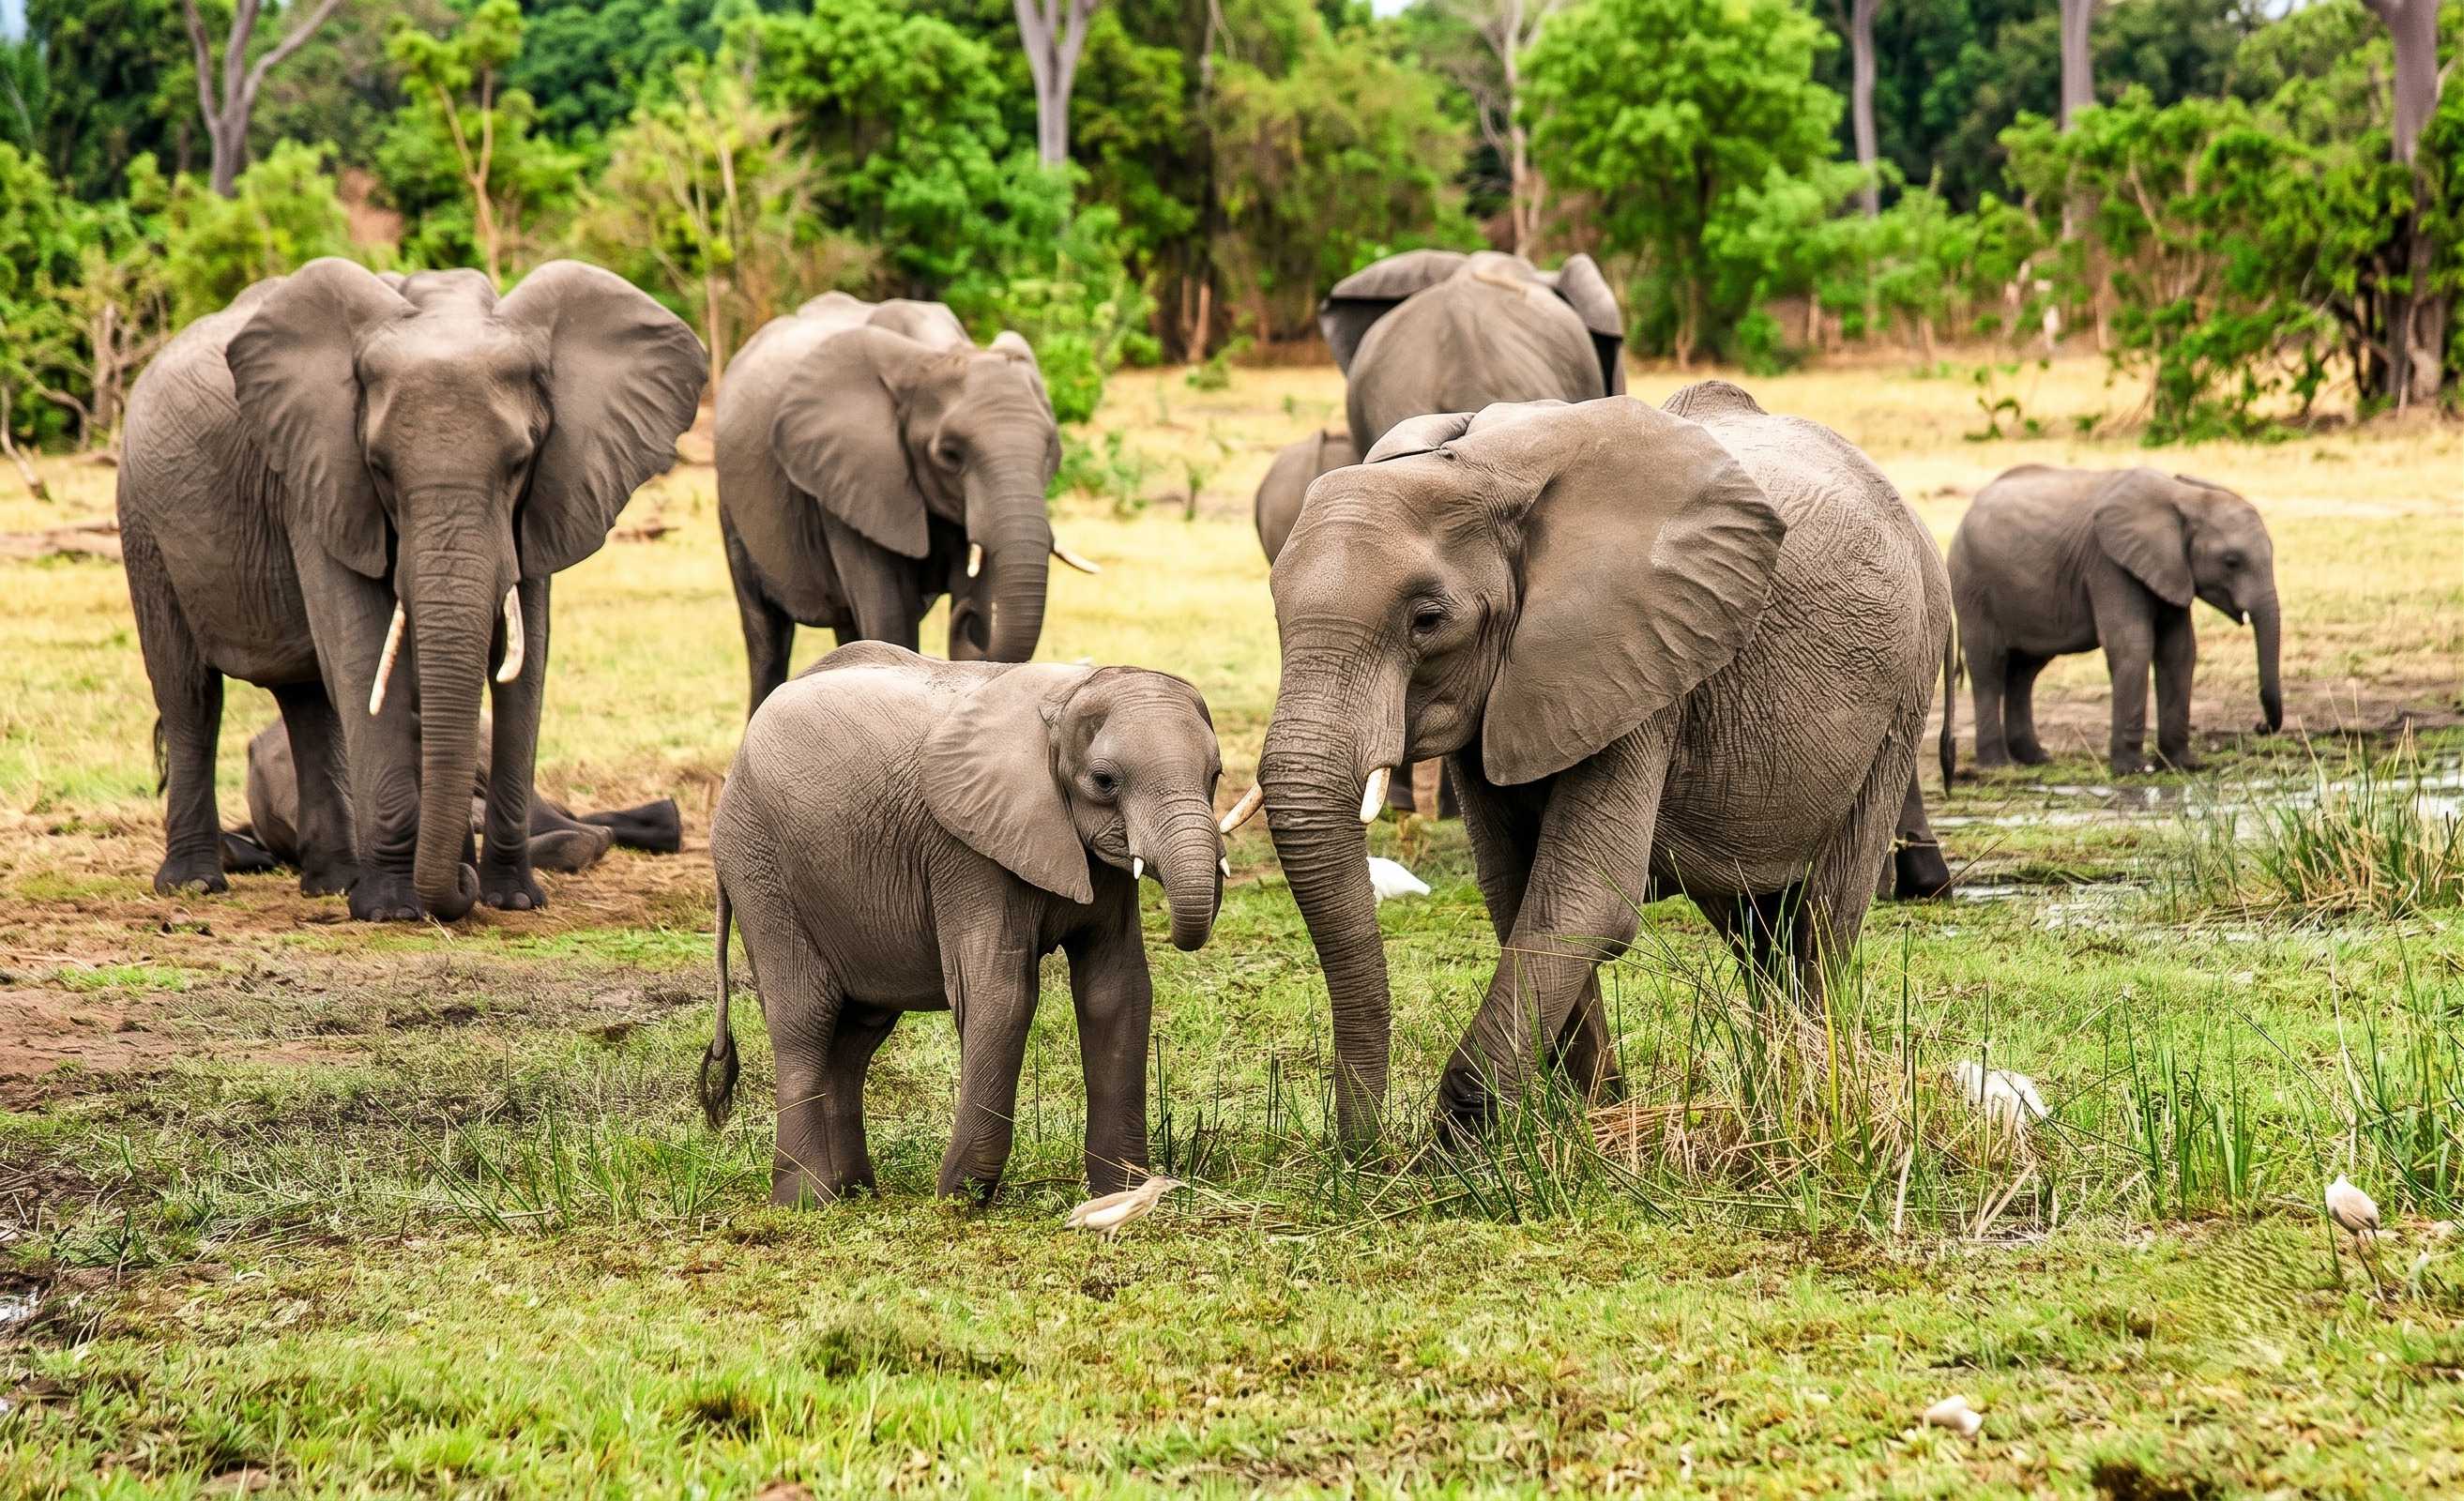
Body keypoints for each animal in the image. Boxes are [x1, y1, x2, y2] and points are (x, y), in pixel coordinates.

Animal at [697, 642, 1228, 1205]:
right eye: (1104, 782)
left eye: (1215, 776)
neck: (1064, 699)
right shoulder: (967, 850)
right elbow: (1000, 993)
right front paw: (959, 1198)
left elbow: (1117, 991)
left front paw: (1123, 1196)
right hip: (757, 862)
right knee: (804, 1018)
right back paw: (805, 1201)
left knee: (856, 1035)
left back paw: (855, 1192)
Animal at [715, 292, 1097, 717]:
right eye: (949, 454)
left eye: (1050, 450)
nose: (969, 615)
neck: (935, 352)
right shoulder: (856, 479)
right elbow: (889, 618)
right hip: (731, 505)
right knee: (766, 636)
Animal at [1244, 387, 1951, 1146]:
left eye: (1427, 620)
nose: (1367, 1153)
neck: (1476, 470)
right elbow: (1517, 891)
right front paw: (1591, 1118)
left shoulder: (1639, 658)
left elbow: (1585, 902)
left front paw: (1459, 1147)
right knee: (1754, 925)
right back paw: (1778, 1086)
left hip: (1909, 679)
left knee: (1824, 914)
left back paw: (1812, 1095)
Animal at [1946, 465, 2283, 778]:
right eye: (2231, 562)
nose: (2260, 725)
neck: (2184, 497)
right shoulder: (2108, 564)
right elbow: (2132, 645)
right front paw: (2133, 769)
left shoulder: (2171, 568)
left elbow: (2179, 650)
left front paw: (2183, 765)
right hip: (1971, 585)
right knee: (1989, 666)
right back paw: (1997, 766)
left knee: (2024, 671)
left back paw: (2036, 758)